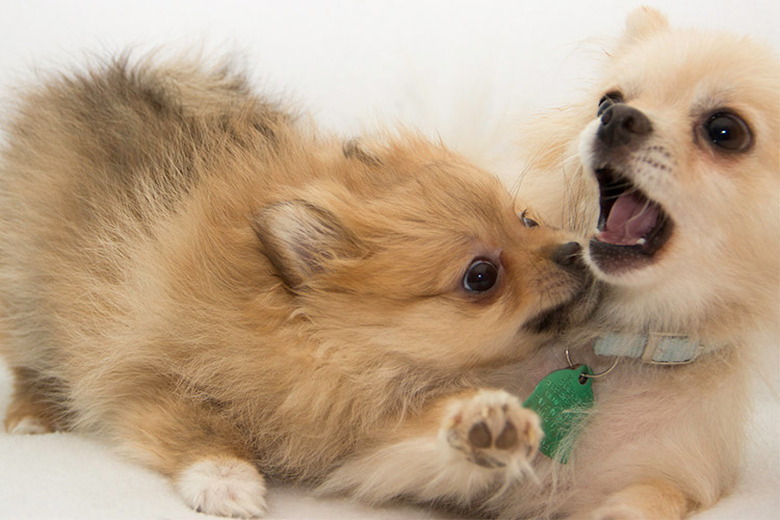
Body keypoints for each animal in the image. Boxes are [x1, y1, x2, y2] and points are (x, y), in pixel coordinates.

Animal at [0, 54, 596, 516]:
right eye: (481, 277)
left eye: (527, 219)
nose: (574, 250)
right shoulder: (142, 375)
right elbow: (195, 425)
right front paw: (226, 478)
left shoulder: (355, 434)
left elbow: (413, 451)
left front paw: (482, 425)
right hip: (26, 296)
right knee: (32, 358)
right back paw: (31, 414)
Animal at [478, 7, 776, 520]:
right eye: (606, 101)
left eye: (726, 131)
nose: (616, 117)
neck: (624, 338)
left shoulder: (670, 472)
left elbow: (647, 497)